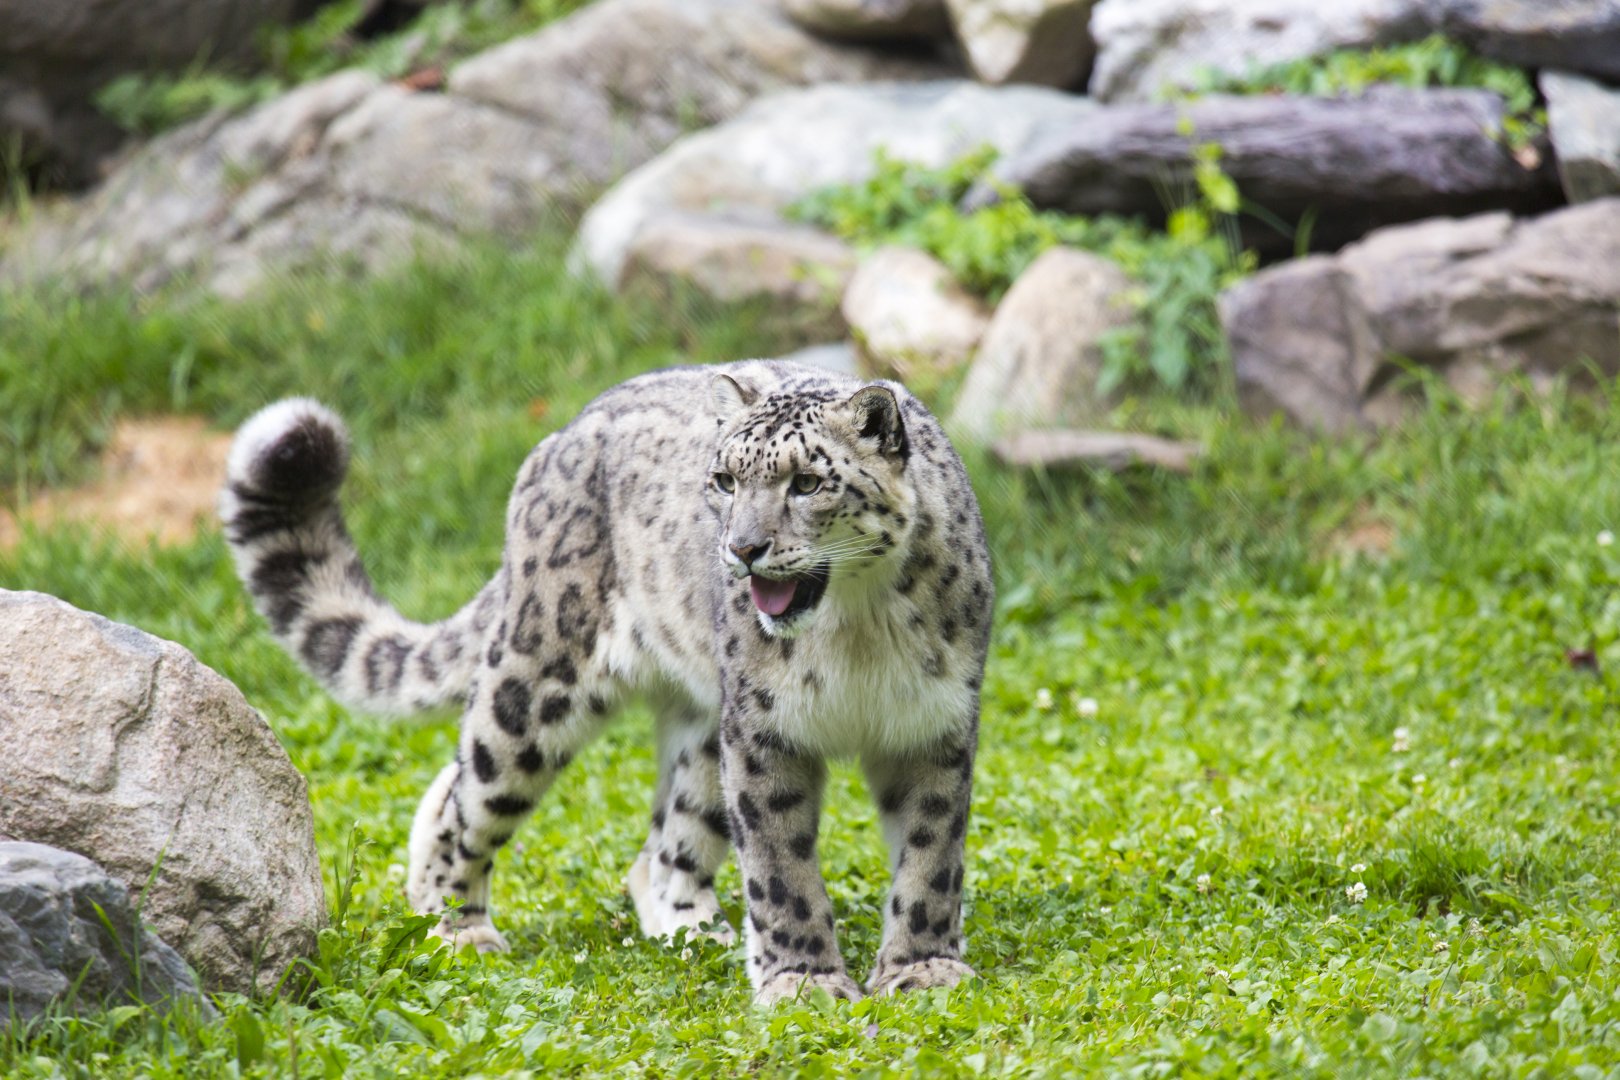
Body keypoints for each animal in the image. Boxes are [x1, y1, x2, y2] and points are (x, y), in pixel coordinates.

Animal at [218, 359, 994, 1004]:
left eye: (807, 482)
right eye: (726, 480)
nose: (743, 548)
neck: (857, 628)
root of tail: (562, 433)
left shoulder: (934, 725)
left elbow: (931, 858)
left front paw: (922, 969)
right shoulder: (765, 731)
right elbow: (782, 868)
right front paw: (804, 981)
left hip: (705, 731)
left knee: (665, 843)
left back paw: (697, 932)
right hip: (539, 685)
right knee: (465, 793)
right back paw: (455, 930)